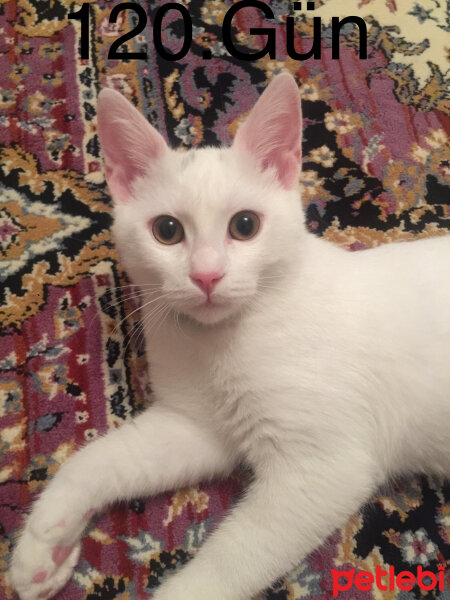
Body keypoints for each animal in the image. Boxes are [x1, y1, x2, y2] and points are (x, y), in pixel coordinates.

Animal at [8, 75, 448, 600]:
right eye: (167, 230)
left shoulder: (322, 467)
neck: (219, 344)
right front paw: (43, 542)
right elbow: (99, 458)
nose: (207, 275)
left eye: (245, 225)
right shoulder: (194, 426)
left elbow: (226, 565)